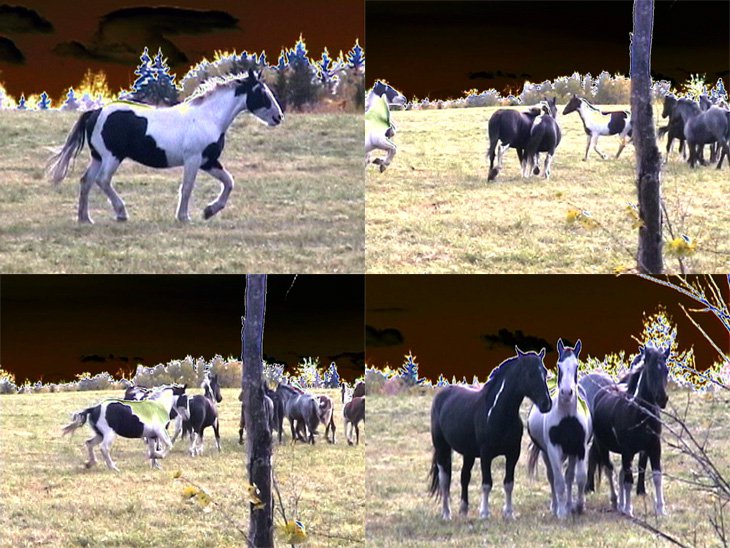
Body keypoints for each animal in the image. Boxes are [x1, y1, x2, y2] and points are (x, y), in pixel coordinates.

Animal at [46, 69, 282, 224]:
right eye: (261, 92)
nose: (278, 117)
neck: (208, 117)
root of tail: (95, 112)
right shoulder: (193, 159)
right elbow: (187, 188)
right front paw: (184, 217)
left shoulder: (208, 161)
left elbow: (229, 182)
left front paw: (209, 211)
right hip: (112, 157)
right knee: (102, 181)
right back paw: (121, 213)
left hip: (98, 157)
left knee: (86, 181)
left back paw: (85, 219)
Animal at [424, 348, 548, 520]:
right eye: (530, 374)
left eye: (545, 372)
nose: (546, 404)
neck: (498, 412)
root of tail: (441, 395)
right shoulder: (486, 454)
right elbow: (487, 483)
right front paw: (484, 513)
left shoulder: (513, 453)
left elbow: (508, 483)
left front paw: (509, 513)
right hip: (442, 448)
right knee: (445, 479)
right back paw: (447, 514)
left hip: (468, 453)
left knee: (464, 477)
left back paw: (463, 510)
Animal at [528, 338, 592, 520]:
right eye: (559, 365)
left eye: (576, 366)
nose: (566, 392)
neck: (567, 418)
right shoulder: (553, 448)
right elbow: (558, 481)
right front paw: (562, 513)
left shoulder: (580, 448)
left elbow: (579, 478)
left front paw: (579, 506)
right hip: (545, 453)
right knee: (552, 478)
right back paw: (556, 506)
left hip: (571, 452)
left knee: (569, 477)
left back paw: (569, 505)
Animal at [576, 344, 668, 516]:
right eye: (650, 370)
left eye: (666, 370)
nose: (662, 399)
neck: (639, 414)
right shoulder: (627, 450)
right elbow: (628, 480)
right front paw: (628, 510)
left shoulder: (654, 447)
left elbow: (657, 477)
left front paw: (661, 510)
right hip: (603, 446)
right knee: (610, 470)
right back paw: (615, 501)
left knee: (619, 473)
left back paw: (620, 503)